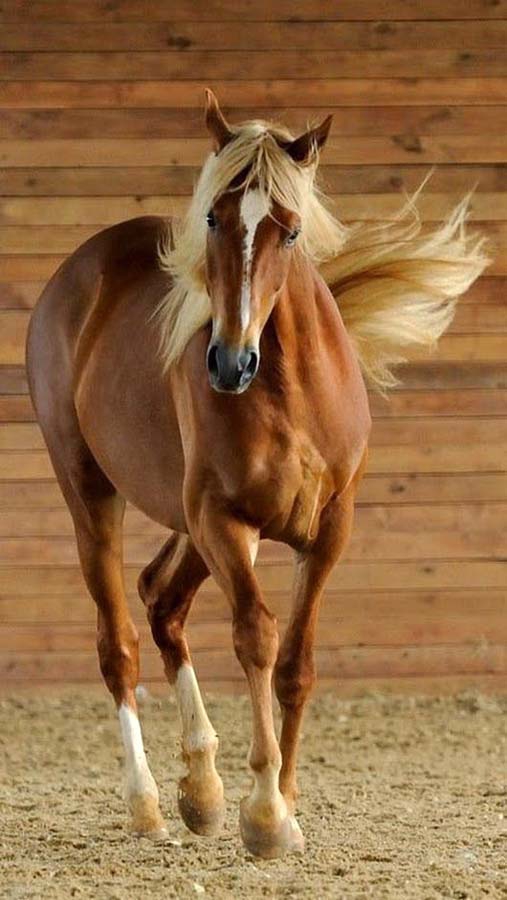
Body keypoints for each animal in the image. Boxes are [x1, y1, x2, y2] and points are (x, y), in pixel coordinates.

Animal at [26, 91, 488, 859]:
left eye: (291, 231)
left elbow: (297, 663)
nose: (229, 362)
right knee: (119, 644)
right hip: (92, 492)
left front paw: (285, 807)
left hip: (185, 526)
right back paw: (148, 802)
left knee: (160, 599)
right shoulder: (225, 520)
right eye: (213, 216)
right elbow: (257, 639)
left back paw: (201, 788)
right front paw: (265, 813)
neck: (290, 393)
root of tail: (77, 272)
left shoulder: (328, 529)